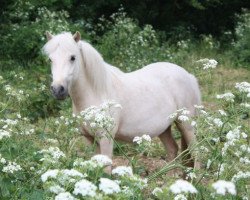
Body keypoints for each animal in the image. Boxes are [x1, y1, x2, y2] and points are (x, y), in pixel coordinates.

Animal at [43, 32, 201, 170]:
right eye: (50, 59)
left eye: (72, 57)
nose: (58, 89)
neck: (96, 92)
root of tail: (189, 76)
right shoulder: (89, 139)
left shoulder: (106, 139)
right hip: (164, 128)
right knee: (173, 150)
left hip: (186, 125)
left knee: (196, 152)